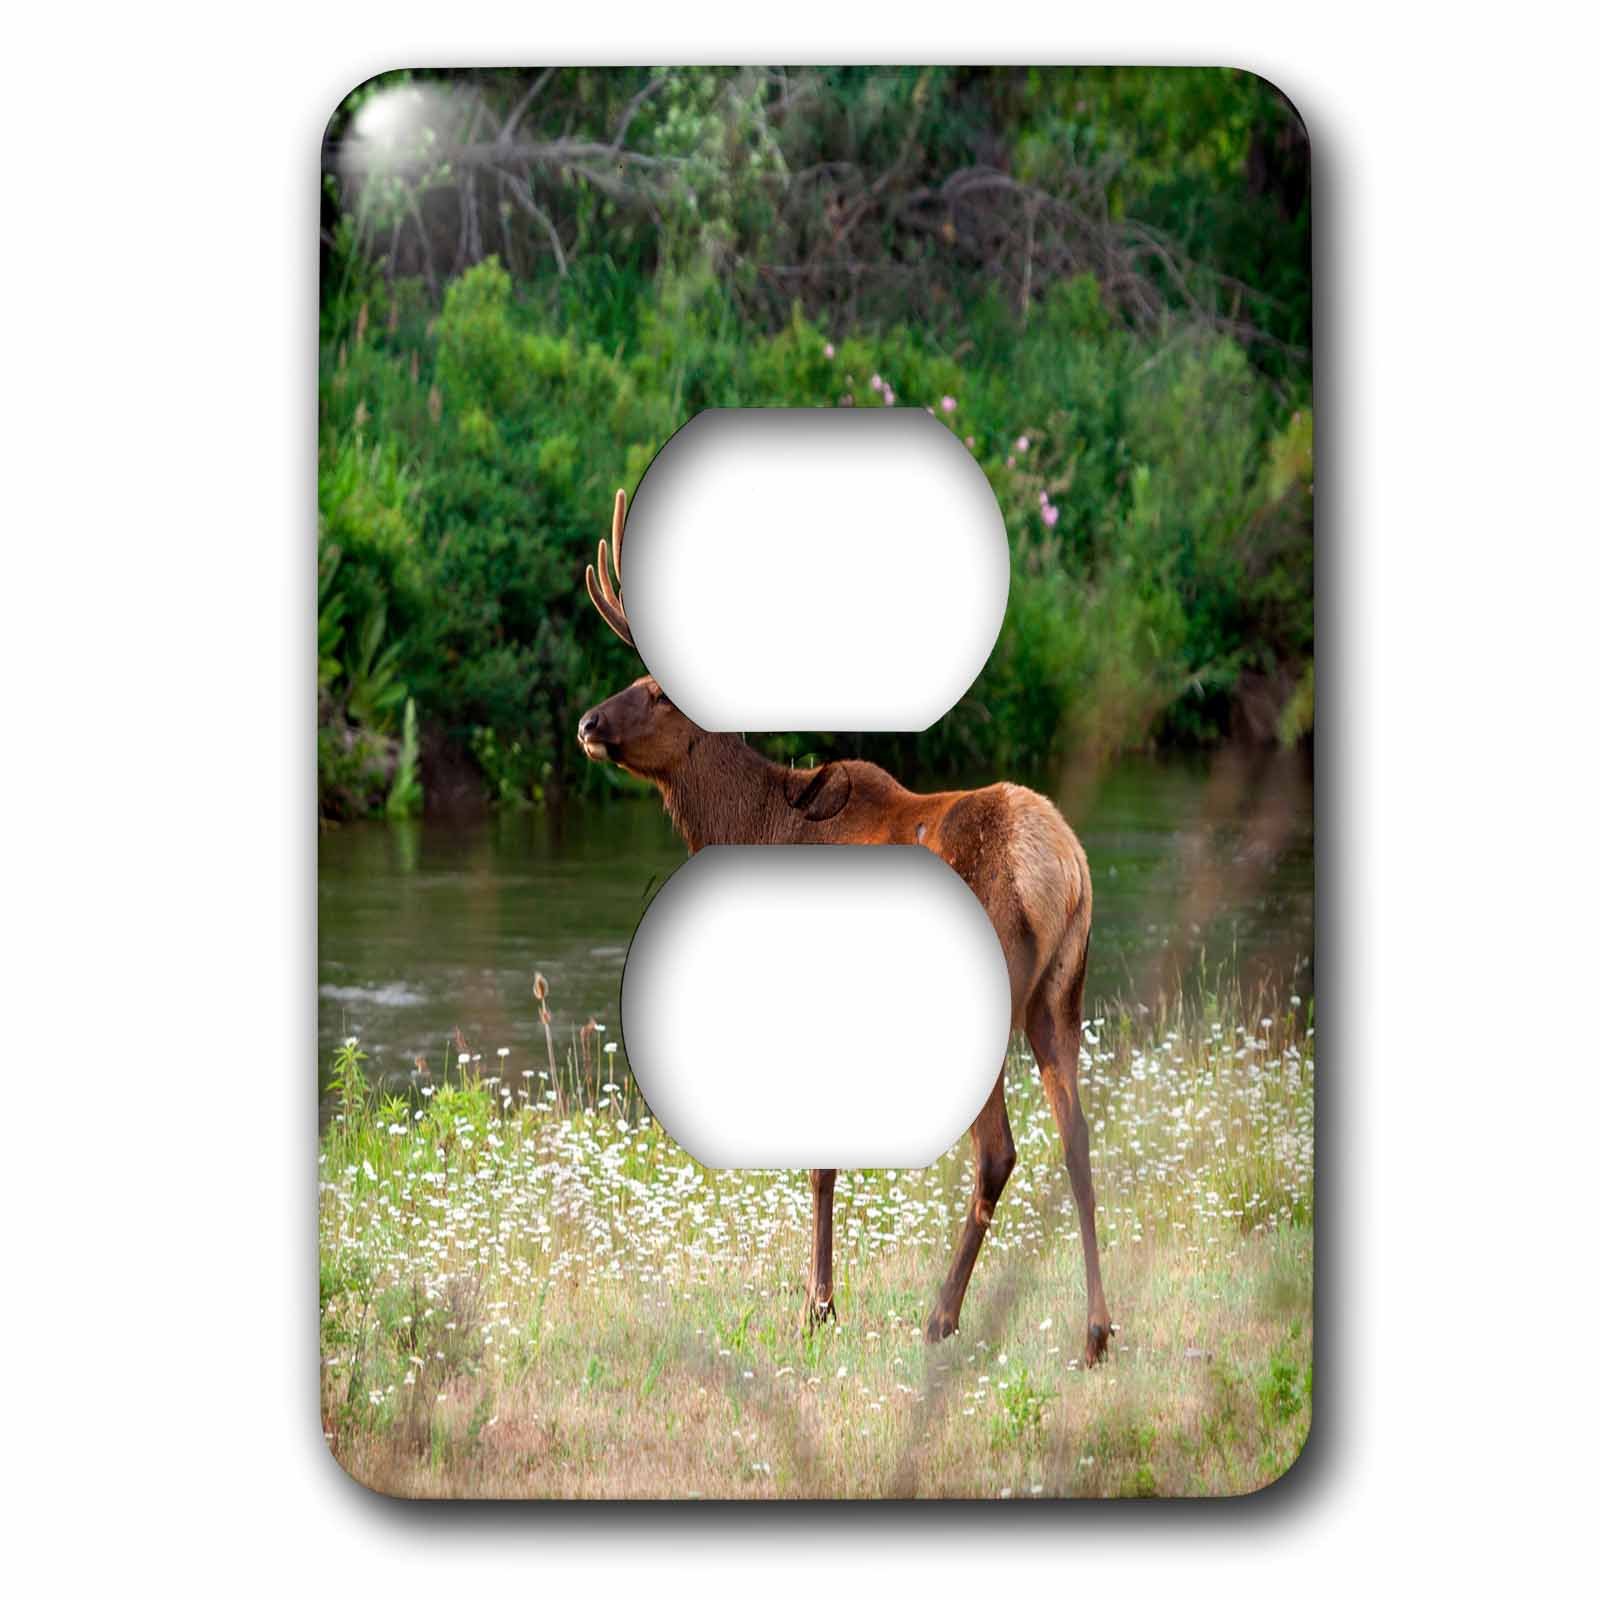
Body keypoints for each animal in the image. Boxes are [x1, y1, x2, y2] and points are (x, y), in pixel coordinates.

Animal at [577, 490, 1111, 1367]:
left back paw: (942, 1316)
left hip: (996, 996)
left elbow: (820, 1163)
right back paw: (1097, 1330)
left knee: (998, 1151)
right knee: (1079, 1137)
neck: (758, 829)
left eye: (659, 690)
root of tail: (1066, 867)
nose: (587, 723)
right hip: (1063, 993)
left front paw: (819, 1307)